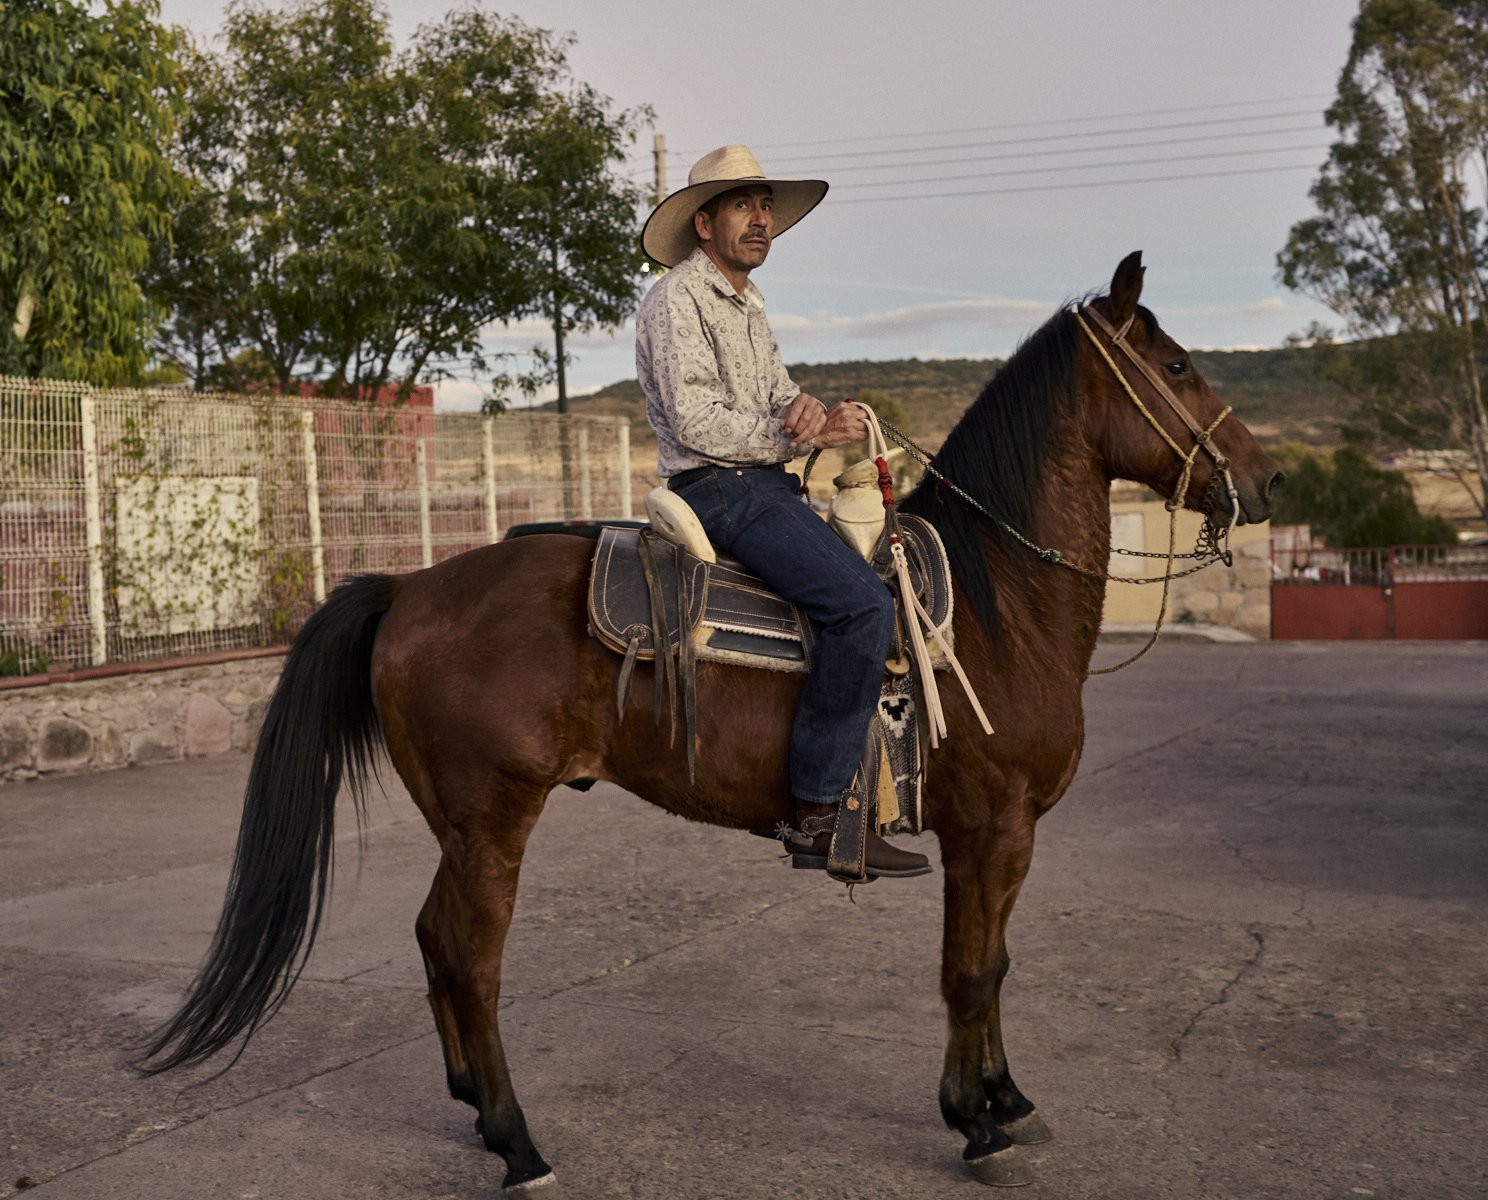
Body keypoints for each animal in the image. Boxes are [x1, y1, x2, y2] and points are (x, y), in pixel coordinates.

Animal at [136, 253, 1279, 1191]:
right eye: (1176, 365)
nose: (1266, 479)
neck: (1001, 603)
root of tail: (408, 587)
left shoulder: (998, 835)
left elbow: (991, 966)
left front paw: (1003, 1100)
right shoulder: (992, 827)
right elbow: (971, 970)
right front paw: (978, 1123)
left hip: (461, 828)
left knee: (429, 939)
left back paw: (471, 1106)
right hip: (493, 821)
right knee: (469, 956)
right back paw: (518, 1144)